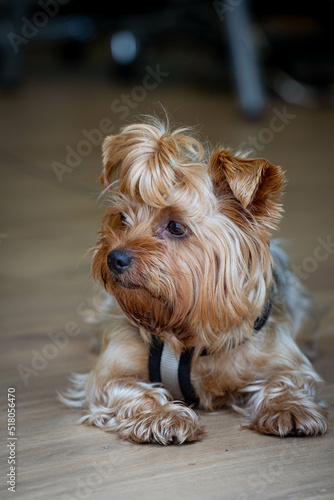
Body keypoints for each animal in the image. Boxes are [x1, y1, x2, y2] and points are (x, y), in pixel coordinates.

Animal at [61, 118, 328, 446]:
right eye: (122, 219)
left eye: (176, 226)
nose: (114, 258)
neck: (187, 326)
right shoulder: (109, 373)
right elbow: (129, 389)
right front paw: (163, 416)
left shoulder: (284, 358)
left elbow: (288, 379)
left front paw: (289, 408)